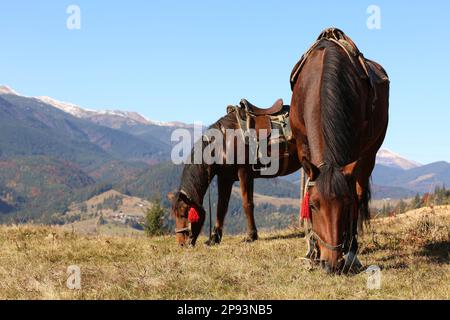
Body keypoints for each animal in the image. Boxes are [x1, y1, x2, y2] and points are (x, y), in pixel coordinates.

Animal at [167, 99, 300, 245]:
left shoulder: (244, 174)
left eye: (184, 214)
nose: (181, 243)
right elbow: (221, 207)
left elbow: (247, 205)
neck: (223, 144)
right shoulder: (225, 178)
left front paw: (251, 236)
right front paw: (214, 238)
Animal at [288, 28, 390, 272]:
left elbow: (354, 195)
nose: (331, 263)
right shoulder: (302, 145)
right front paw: (312, 250)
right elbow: (307, 186)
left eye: (345, 205)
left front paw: (349, 253)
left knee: (360, 191)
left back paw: (352, 251)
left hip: (370, 152)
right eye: (313, 205)